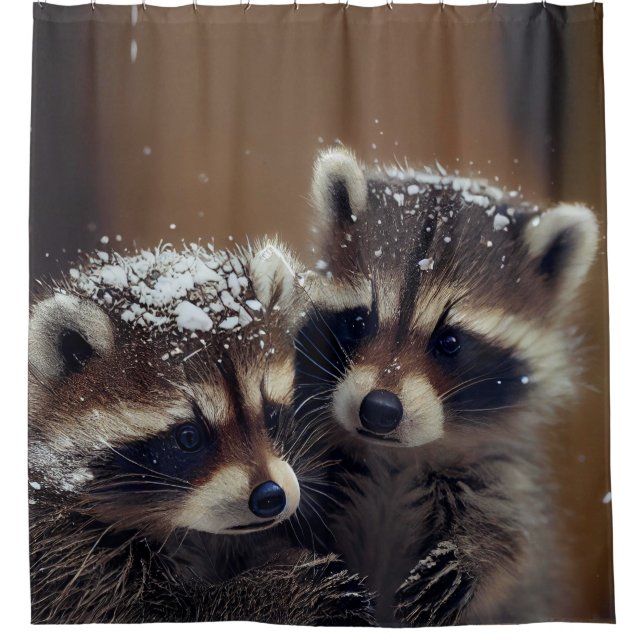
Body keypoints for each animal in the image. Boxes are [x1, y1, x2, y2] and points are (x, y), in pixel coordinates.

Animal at [28, 240, 374, 625]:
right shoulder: (62, 547)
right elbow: (152, 613)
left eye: (271, 416)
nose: (270, 497)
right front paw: (278, 589)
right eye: (188, 437)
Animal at [295, 148, 599, 625]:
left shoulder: (500, 466)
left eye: (450, 342)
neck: (395, 457)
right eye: (359, 322)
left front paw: (474, 553)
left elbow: (512, 535)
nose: (379, 410)